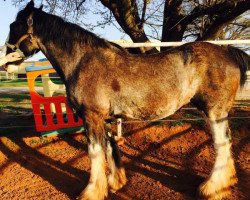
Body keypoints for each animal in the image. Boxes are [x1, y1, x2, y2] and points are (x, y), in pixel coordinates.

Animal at [4, 0, 250, 199]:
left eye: (14, 26)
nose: (6, 61)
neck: (83, 61)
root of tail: (229, 52)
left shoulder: (92, 117)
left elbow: (95, 153)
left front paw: (92, 192)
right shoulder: (104, 119)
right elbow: (110, 148)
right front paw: (115, 183)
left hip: (215, 112)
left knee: (222, 144)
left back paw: (211, 188)